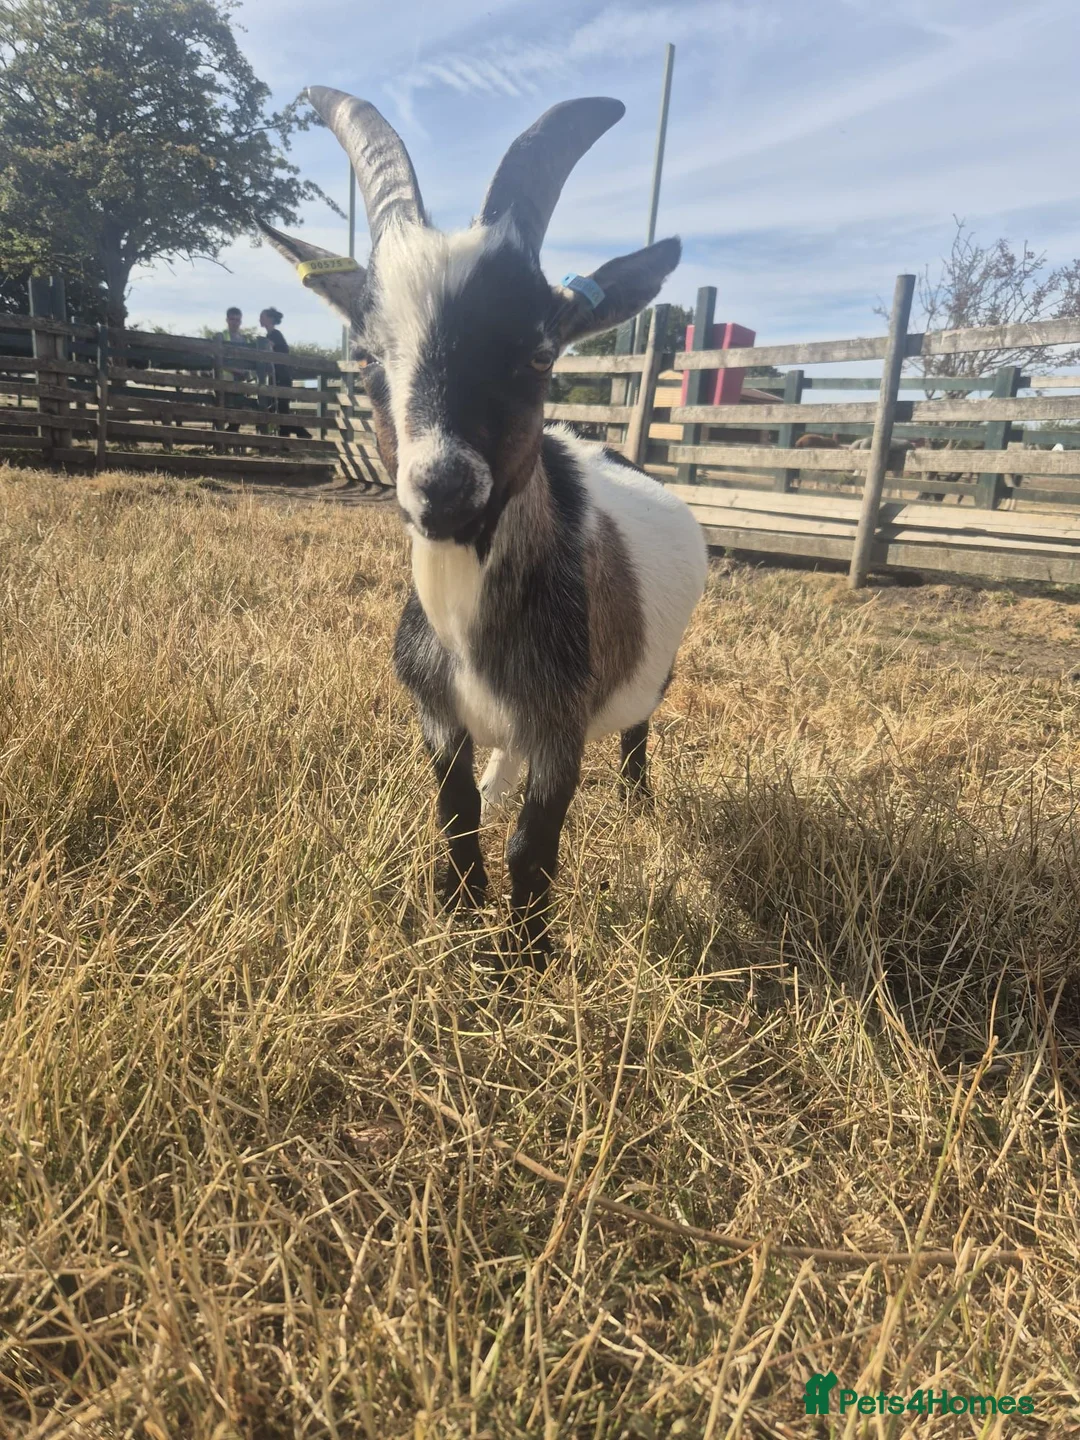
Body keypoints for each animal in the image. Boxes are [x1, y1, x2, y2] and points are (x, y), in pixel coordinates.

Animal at [259, 89, 707, 963]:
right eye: (364, 356)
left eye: (538, 354)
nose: (443, 489)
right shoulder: (437, 712)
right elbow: (457, 813)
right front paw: (459, 908)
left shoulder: (562, 721)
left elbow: (533, 845)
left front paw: (524, 959)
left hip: (655, 670)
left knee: (639, 729)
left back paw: (637, 800)